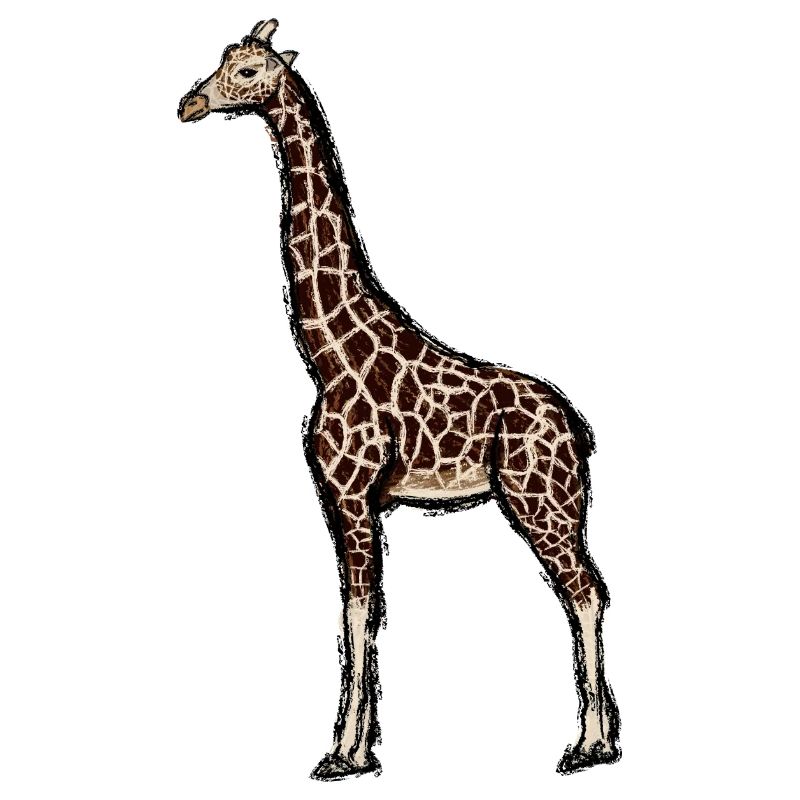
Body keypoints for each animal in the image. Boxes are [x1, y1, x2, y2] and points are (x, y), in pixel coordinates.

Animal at [178, 18, 620, 780]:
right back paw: (595, 739)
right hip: (554, 503)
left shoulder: (353, 494)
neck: (326, 355)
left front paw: (343, 754)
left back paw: (590, 745)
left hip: (542, 501)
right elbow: (361, 610)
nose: (189, 103)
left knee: (586, 590)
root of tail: (576, 426)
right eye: (221, 61)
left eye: (248, 71)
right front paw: (352, 746)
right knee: (585, 589)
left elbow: (359, 612)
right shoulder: (344, 499)